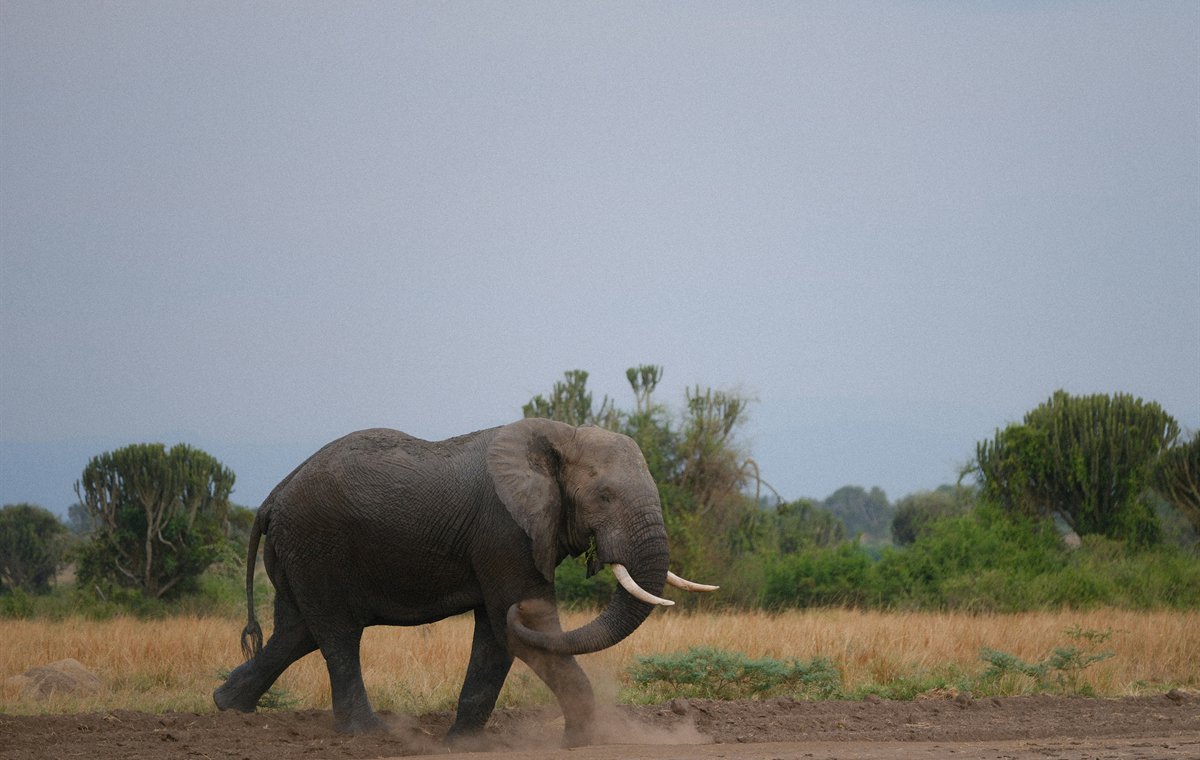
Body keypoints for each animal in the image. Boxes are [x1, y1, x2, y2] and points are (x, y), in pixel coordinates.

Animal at [212, 418, 716, 746]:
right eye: (605, 496)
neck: (560, 436)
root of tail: (272, 496)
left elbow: (497, 634)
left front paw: (461, 743)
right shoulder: (505, 529)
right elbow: (526, 624)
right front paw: (584, 741)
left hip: (298, 553)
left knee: (296, 632)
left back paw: (228, 707)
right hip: (316, 545)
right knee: (337, 634)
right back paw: (371, 734)